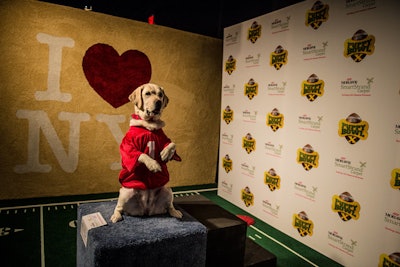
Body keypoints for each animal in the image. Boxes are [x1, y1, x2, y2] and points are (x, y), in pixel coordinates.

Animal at [111, 84, 183, 224]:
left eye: (160, 95)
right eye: (148, 94)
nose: (159, 102)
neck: (149, 125)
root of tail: (146, 210)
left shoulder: (165, 139)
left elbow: (173, 144)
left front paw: (165, 154)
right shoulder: (128, 146)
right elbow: (141, 154)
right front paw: (153, 165)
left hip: (167, 190)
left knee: (169, 206)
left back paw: (175, 212)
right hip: (125, 192)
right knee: (119, 208)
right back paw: (116, 216)